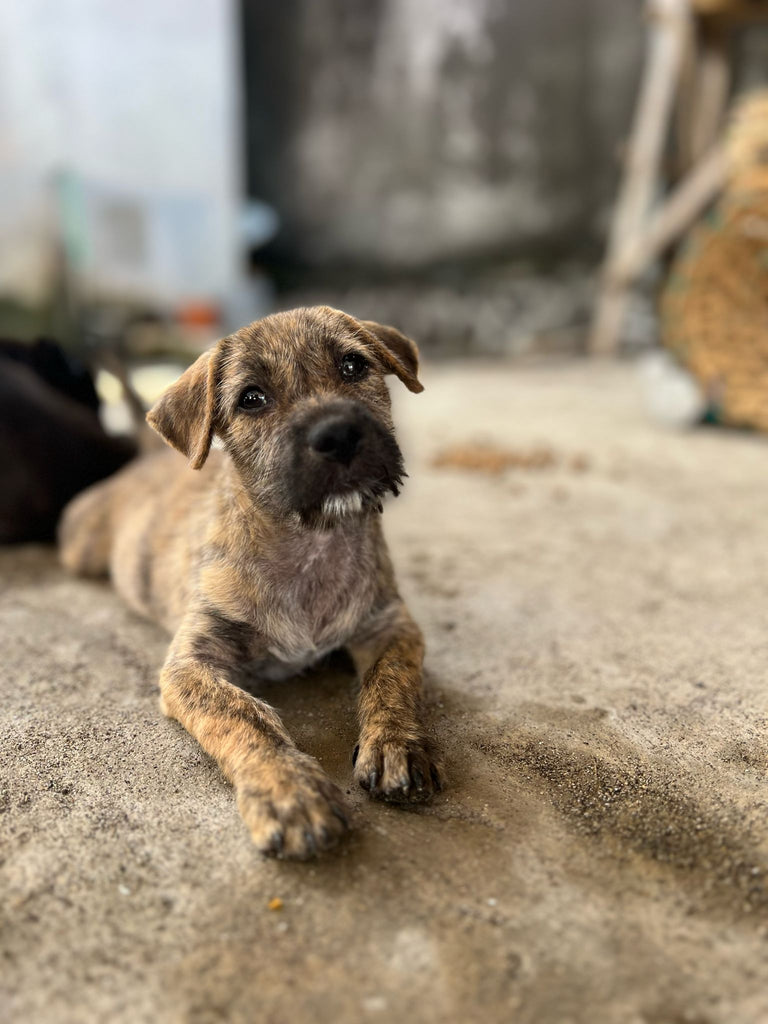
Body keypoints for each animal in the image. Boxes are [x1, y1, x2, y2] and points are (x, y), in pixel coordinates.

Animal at [60, 303, 442, 856]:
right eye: (252, 398)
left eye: (353, 365)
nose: (338, 435)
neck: (309, 542)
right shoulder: (191, 664)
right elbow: (243, 714)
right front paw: (288, 790)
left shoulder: (389, 623)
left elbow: (393, 678)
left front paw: (397, 743)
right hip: (80, 547)